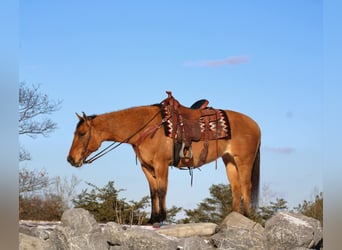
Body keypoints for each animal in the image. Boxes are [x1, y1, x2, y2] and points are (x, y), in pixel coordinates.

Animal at [67, 93, 260, 224]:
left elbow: (162, 190)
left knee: (246, 186)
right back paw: (233, 217)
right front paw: (152, 219)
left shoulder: (161, 165)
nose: (70, 159)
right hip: (229, 161)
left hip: (244, 161)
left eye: (82, 133)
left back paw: (246, 216)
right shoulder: (146, 167)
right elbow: (153, 192)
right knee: (236, 188)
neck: (148, 128)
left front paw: (161, 217)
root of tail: (255, 124)